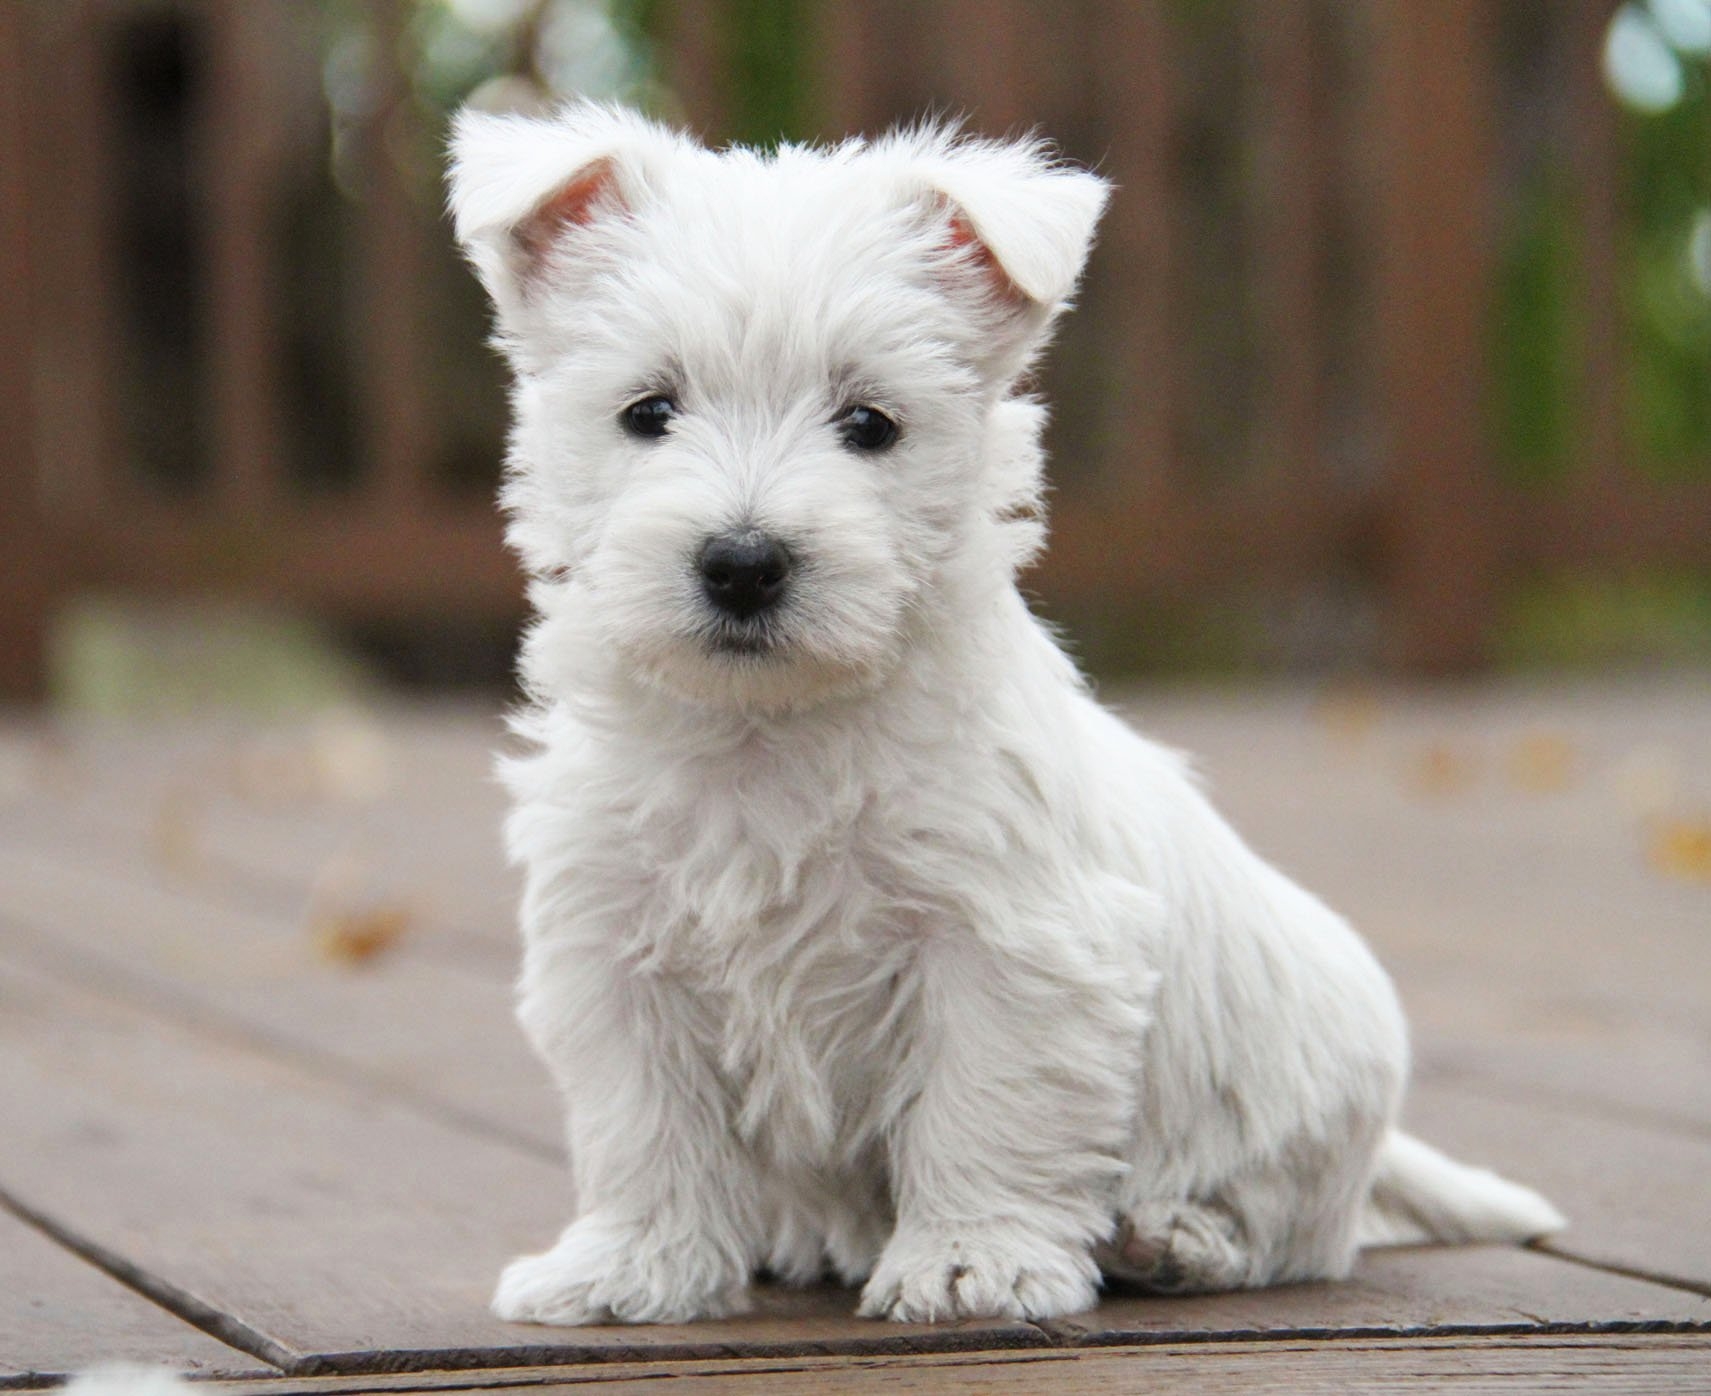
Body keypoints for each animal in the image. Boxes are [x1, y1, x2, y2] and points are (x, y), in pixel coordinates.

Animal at [448, 103, 1567, 1327]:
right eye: (647, 412)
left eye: (870, 424)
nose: (742, 564)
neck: (770, 732)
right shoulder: (615, 951)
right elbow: (644, 1128)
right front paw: (628, 1269)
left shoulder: (1009, 946)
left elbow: (985, 1106)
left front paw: (965, 1262)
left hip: (1306, 1083)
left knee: (1294, 1220)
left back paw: (1176, 1237)